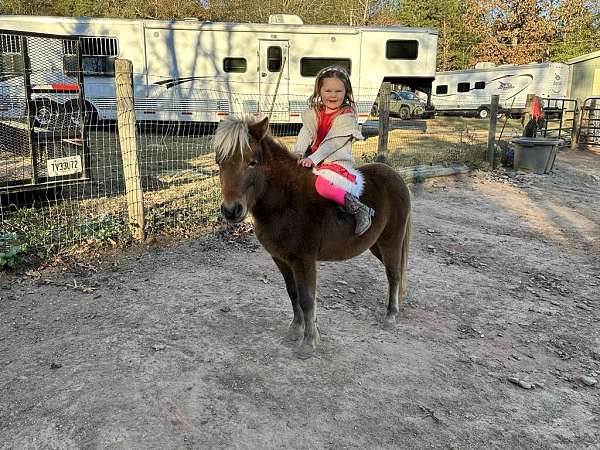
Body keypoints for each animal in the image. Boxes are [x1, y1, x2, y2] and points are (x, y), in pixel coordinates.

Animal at [212, 116, 412, 358]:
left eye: (252, 162)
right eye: (220, 162)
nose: (231, 210)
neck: (285, 203)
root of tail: (395, 176)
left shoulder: (304, 260)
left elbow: (307, 299)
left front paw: (309, 341)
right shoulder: (281, 259)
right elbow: (293, 293)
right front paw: (295, 330)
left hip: (391, 241)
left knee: (394, 274)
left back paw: (391, 315)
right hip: (376, 246)